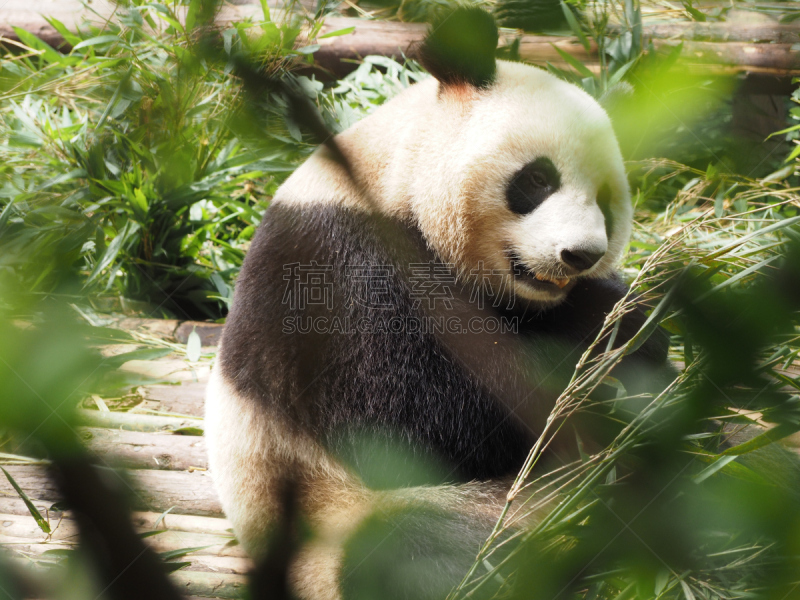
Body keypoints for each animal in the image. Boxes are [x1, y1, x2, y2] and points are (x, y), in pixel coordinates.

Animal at [203, 9, 672, 600]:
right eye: (538, 179)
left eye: (607, 204)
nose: (580, 254)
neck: (394, 174)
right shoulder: (337, 266)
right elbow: (416, 427)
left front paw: (630, 327)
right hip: (335, 518)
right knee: (401, 548)